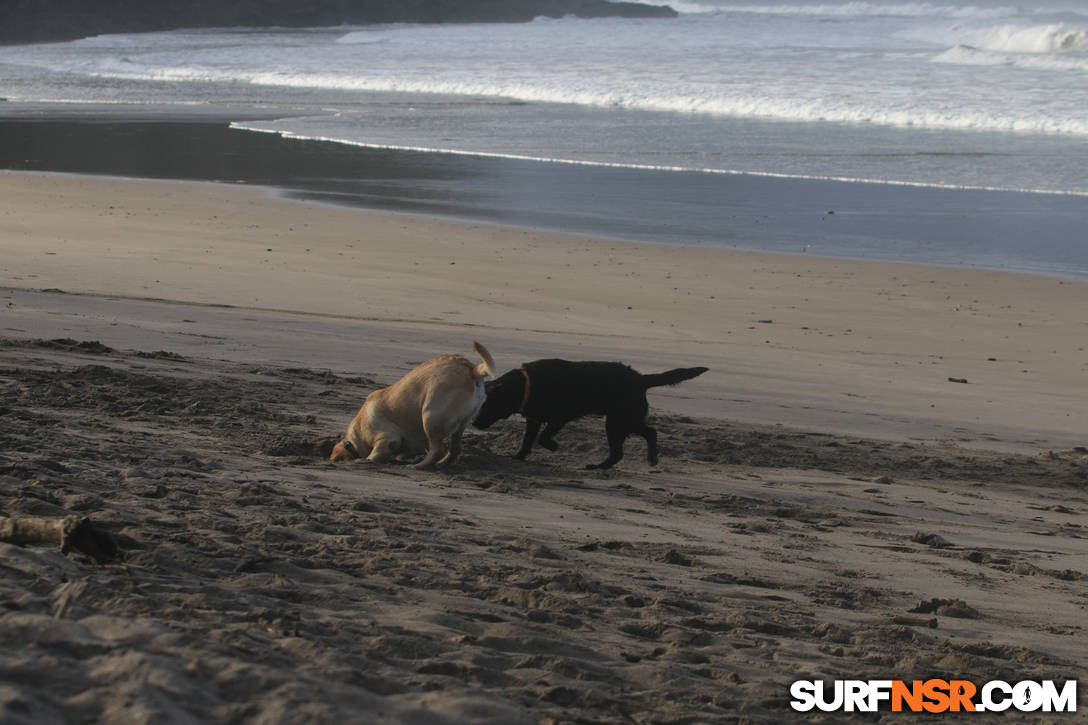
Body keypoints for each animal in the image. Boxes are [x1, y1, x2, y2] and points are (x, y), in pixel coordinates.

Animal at [324, 339, 491, 468]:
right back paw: (442, 463)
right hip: (459, 425)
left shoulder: (386, 438)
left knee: (437, 451)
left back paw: (418, 466)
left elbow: (376, 453)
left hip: (430, 418)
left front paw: (365, 461)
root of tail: (471, 368)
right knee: (454, 449)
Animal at [472, 357, 709, 468]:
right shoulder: (534, 419)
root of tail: (641, 379)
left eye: (485, 405)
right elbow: (528, 440)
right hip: (625, 419)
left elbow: (543, 437)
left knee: (621, 450)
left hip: (617, 421)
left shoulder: (560, 416)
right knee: (649, 432)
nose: (474, 423)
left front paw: (553, 446)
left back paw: (600, 466)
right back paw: (648, 459)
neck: (526, 385)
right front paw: (518, 456)